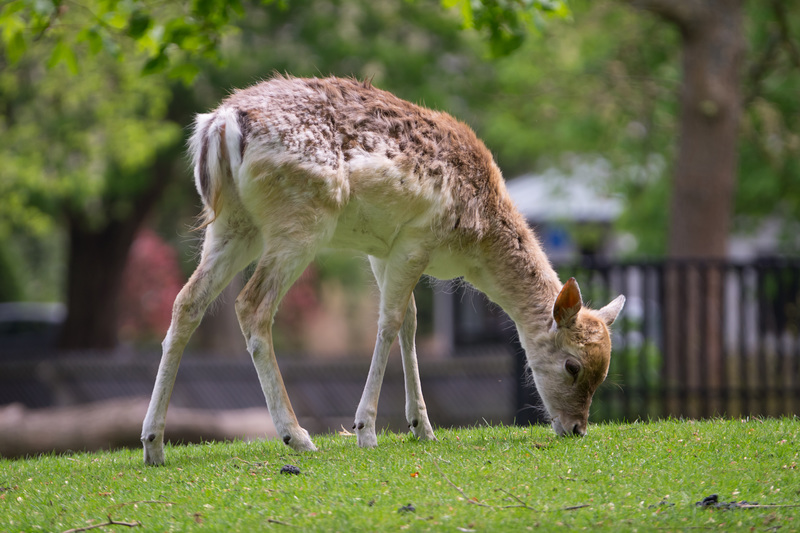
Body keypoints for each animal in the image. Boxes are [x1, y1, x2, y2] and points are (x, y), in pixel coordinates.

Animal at [141, 72, 624, 464]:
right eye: (573, 366)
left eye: (604, 372)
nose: (577, 428)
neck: (474, 241)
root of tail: (220, 125)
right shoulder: (417, 237)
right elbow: (389, 322)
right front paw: (366, 430)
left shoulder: (382, 249)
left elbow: (410, 322)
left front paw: (422, 428)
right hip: (300, 221)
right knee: (251, 305)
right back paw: (297, 436)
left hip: (232, 225)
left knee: (187, 301)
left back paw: (154, 444)